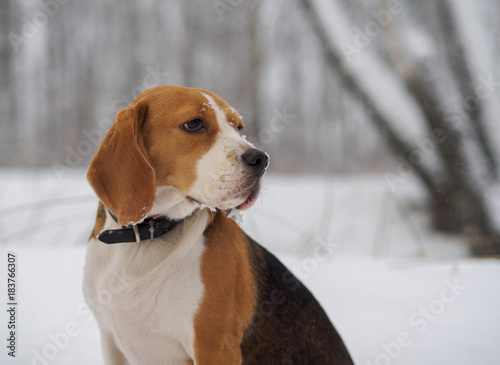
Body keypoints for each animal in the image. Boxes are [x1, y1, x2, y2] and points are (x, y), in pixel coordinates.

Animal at [84, 86, 352, 364]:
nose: (261, 159)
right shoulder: (111, 342)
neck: (143, 237)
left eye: (238, 127)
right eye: (193, 124)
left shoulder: (215, 346)